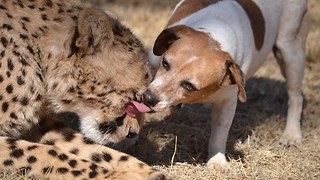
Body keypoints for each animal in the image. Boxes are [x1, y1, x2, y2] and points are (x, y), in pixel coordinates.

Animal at [0, 0, 165, 179]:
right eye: (135, 97)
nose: (133, 133)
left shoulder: (41, 126)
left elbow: (92, 147)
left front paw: (144, 171)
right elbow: (49, 154)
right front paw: (119, 176)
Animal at [142, 0, 308, 169]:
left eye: (189, 86)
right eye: (165, 63)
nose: (148, 98)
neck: (215, 36)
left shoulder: (228, 102)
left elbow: (220, 132)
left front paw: (216, 161)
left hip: (290, 51)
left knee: (296, 96)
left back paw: (291, 134)